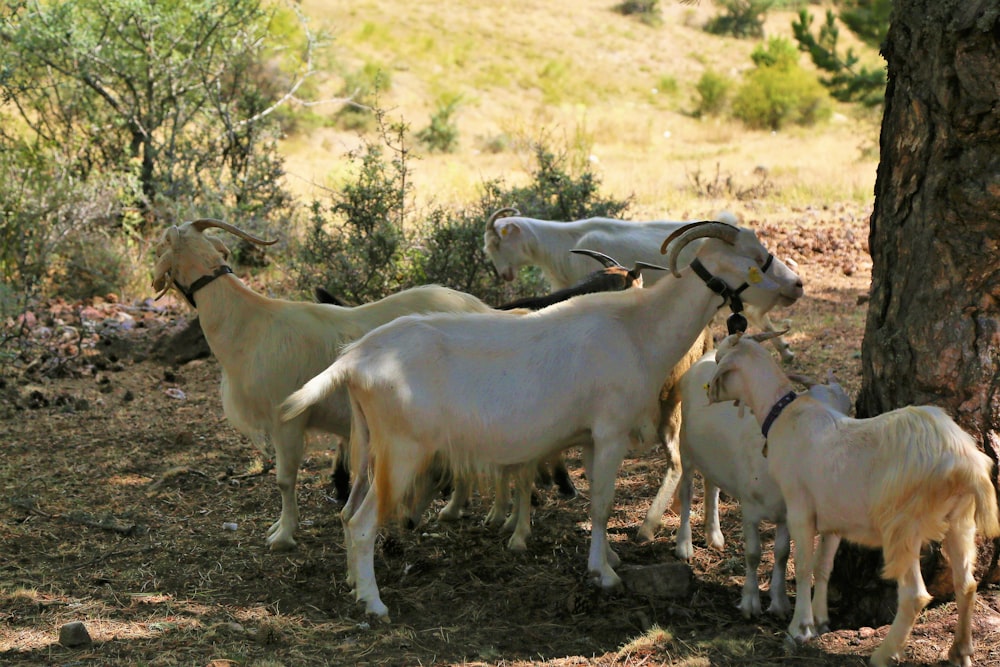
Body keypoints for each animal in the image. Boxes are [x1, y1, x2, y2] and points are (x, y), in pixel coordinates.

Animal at [676, 348, 848, 620]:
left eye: (850, 408)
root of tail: (710, 354)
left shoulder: (786, 512)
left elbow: (781, 554)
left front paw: (779, 602)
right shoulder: (749, 508)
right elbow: (754, 554)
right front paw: (750, 602)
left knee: (712, 486)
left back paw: (714, 535)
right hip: (686, 449)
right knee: (686, 491)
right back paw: (684, 545)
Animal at [704, 334, 1000, 667]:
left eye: (719, 360)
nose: (706, 390)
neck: (782, 413)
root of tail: (963, 461)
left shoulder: (799, 508)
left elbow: (803, 566)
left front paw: (800, 628)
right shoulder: (833, 520)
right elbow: (823, 566)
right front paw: (820, 621)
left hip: (903, 525)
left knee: (915, 595)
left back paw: (884, 653)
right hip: (960, 520)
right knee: (967, 584)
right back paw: (960, 651)